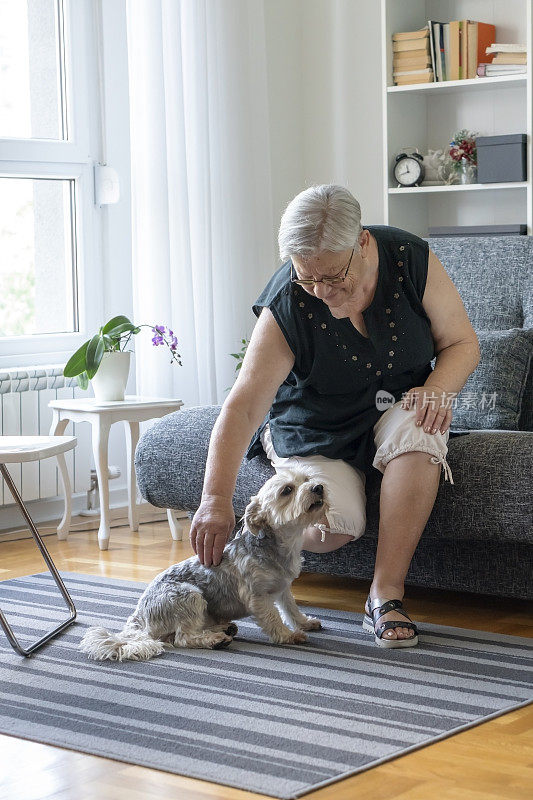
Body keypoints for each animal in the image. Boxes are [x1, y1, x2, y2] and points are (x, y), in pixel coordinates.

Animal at [79, 468, 328, 664]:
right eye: (287, 490)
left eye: (306, 478)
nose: (318, 487)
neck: (279, 547)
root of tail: (139, 615)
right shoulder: (258, 596)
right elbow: (273, 618)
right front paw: (288, 635)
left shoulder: (283, 588)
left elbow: (291, 609)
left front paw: (304, 623)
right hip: (190, 597)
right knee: (182, 638)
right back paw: (214, 639)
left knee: (176, 635)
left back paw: (222, 629)